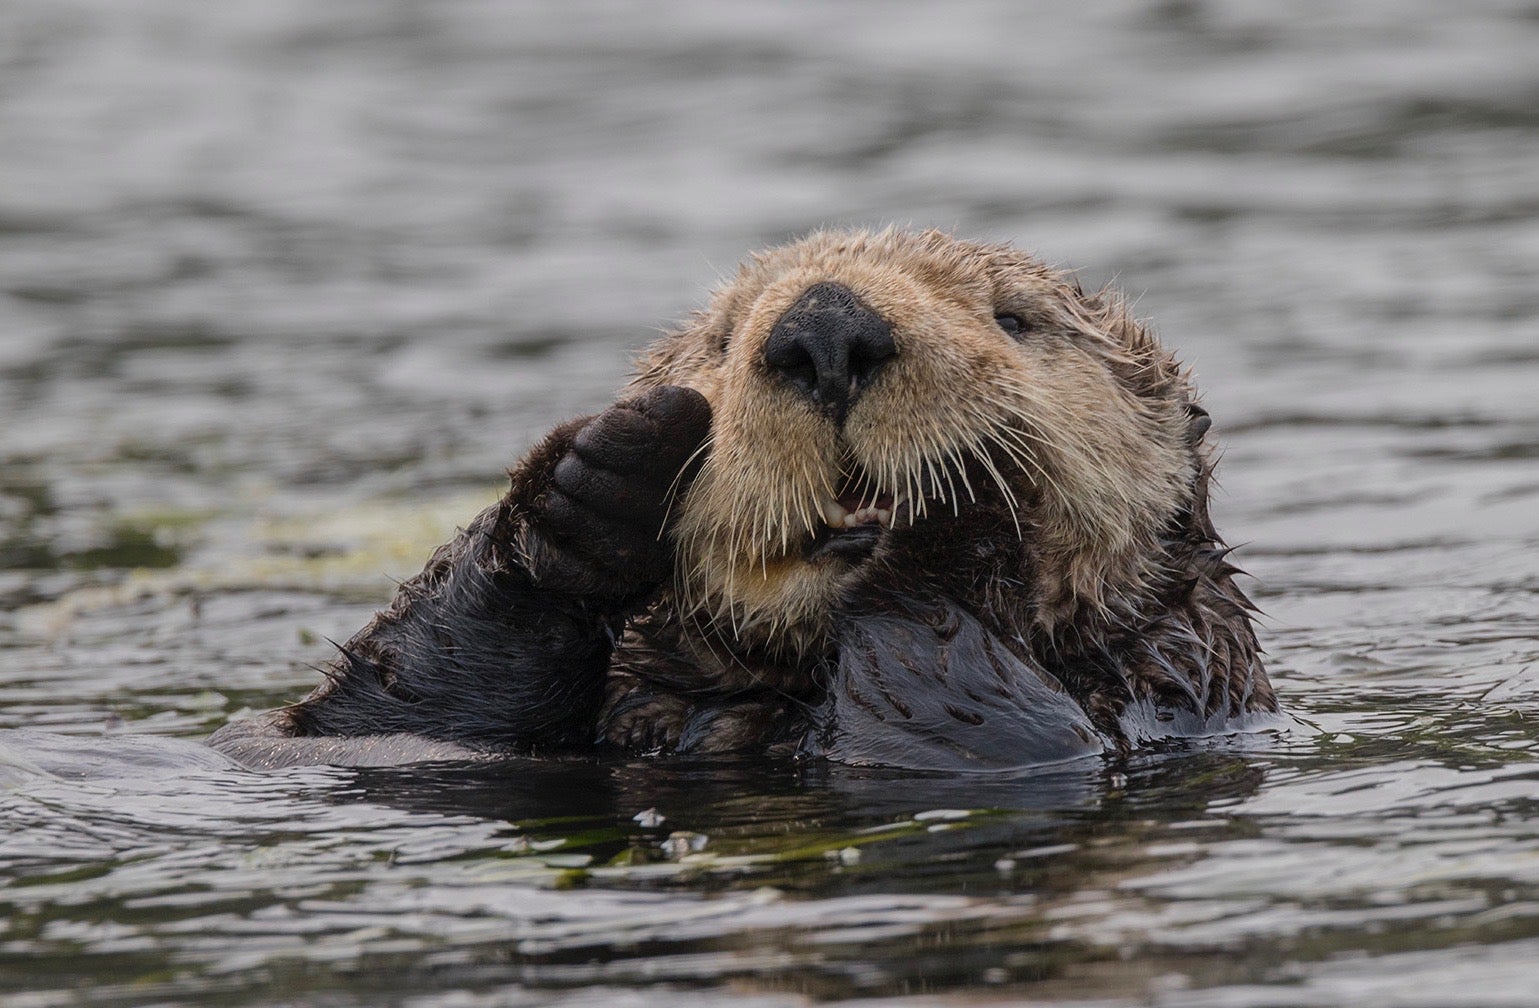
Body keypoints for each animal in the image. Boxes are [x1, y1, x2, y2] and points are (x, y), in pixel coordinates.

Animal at [211, 229, 1277, 770]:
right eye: (721, 341)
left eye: (1015, 320)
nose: (826, 326)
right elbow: (369, 720)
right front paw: (595, 483)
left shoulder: (1157, 688)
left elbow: (985, 726)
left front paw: (952, 512)